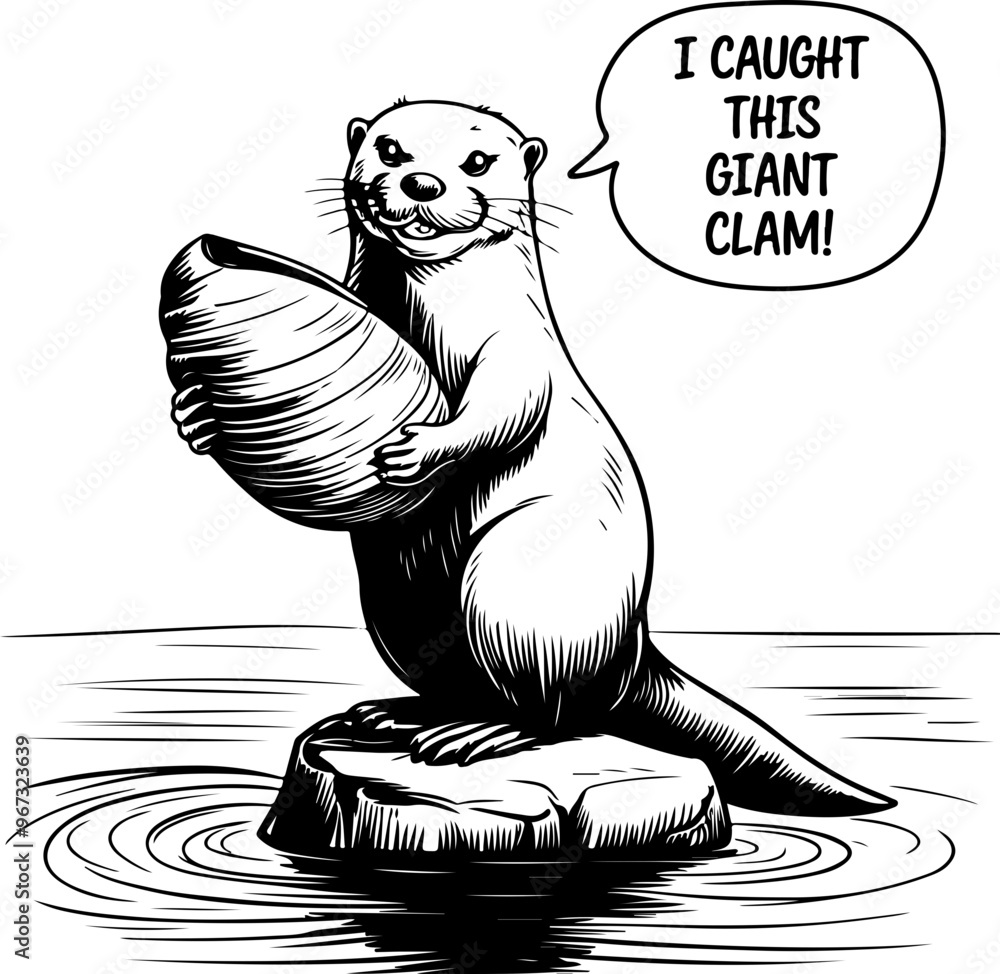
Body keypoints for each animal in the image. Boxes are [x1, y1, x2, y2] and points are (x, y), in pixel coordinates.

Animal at [174, 100, 892, 816]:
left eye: (477, 161)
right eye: (390, 149)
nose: (422, 183)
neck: (435, 318)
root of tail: (633, 654)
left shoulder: (518, 348)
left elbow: (506, 411)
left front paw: (419, 448)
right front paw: (195, 415)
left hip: (517, 592)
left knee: (553, 712)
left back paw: (474, 734)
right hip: (395, 607)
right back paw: (395, 716)